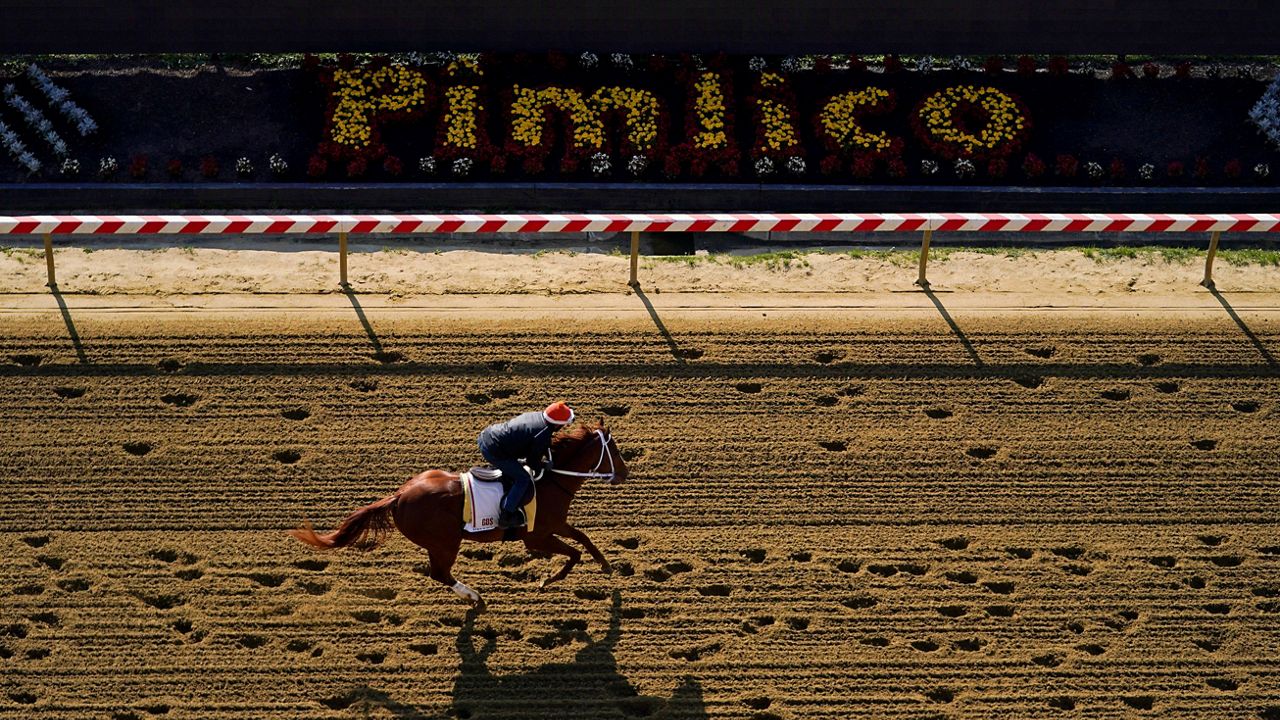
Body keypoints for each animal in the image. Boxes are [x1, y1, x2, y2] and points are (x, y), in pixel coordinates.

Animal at [289, 417, 629, 602]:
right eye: (613, 450)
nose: (625, 473)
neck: (550, 480)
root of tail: (398, 496)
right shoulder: (537, 537)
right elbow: (574, 554)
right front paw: (548, 579)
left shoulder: (555, 524)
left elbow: (584, 539)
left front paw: (606, 565)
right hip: (445, 542)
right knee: (440, 573)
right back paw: (475, 597)